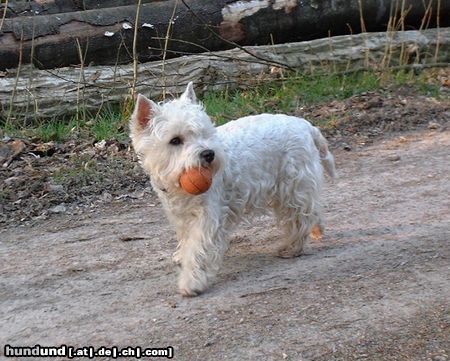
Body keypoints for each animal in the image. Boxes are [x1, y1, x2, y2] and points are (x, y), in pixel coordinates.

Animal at [129, 82, 334, 296]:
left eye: (204, 132)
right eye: (175, 140)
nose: (208, 154)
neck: (178, 186)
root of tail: (305, 125)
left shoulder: (208, 217)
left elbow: (198, 249)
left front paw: (192, 282)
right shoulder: (180, 214)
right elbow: (186, 239)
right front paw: (181, 255)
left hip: (292, 187)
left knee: (299, 219)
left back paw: (291, 248)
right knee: (312, 210)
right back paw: (316, 230)